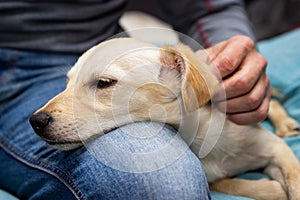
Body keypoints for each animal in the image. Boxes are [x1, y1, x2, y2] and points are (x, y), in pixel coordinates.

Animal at [30, 38, 300, 200]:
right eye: (67, 83)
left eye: (104, 83)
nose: (35, 121)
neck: (199, 135)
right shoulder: (213, 178)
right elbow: (232, 183)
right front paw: (272, 189)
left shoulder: (275, 148)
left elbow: (294, 177)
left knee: (272, 102)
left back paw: (286, 124)